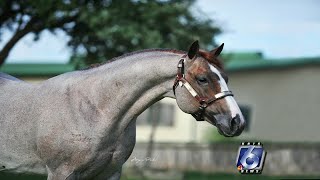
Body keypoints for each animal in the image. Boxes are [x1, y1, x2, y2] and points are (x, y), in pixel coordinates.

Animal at [0, 41, 245, 179]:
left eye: (226, 77)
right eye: (203, 79)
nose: (237, 121)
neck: (95, 109)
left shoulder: (110, 173)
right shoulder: (61, 173)